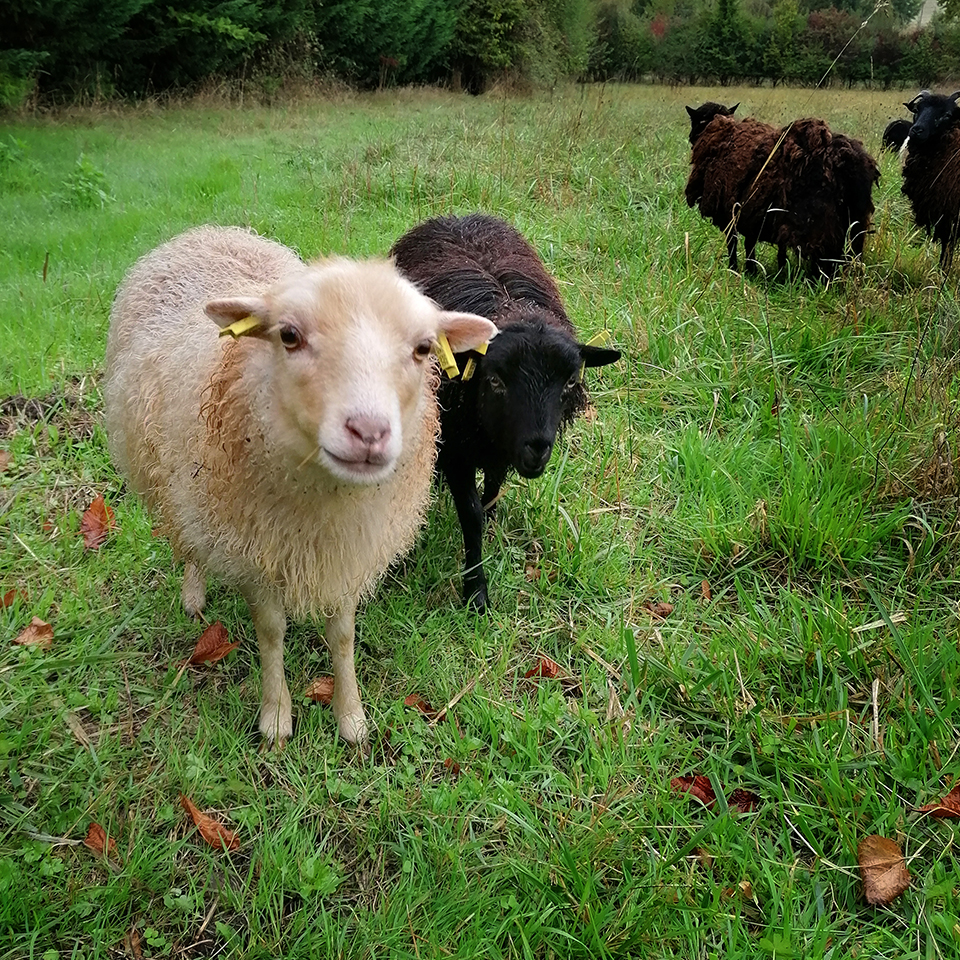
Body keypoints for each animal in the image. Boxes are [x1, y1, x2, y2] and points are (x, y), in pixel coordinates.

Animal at [105, 227, 496, 752]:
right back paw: (193, 593)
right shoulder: (254, 552)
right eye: (289, 336)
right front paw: (275, 719)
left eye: (422, 348)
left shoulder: (349, 552)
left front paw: (351, 719)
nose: (369, 431)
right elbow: (271, 633)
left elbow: (343, 635)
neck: (324, 506)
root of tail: (206, 231)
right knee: (186, 538)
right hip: (174, 479)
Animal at [392, 214, 624, 612]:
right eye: (496, 380)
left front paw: (491, 520)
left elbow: (493, 490)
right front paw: (476, 591)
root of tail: (456, 216)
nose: (538, 448)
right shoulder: (456, 447)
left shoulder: (501, 446)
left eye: (569, 383)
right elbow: (470, 516)